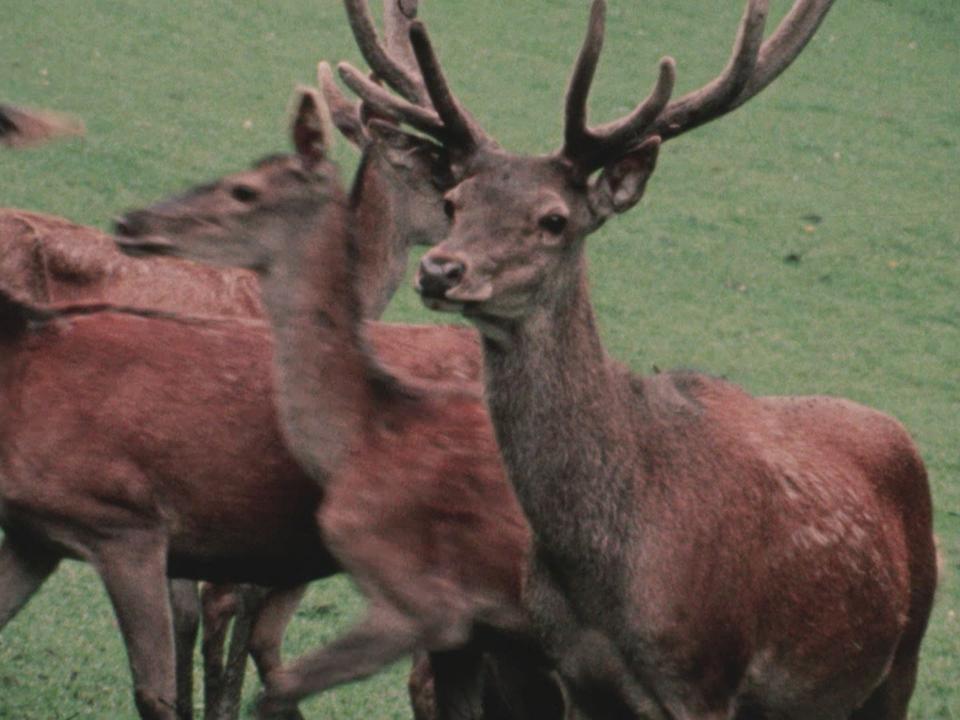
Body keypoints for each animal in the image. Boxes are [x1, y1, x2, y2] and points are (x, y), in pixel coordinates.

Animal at [340, 0, 936, 716]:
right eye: (454, 202)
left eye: (554, 219)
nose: (439, 270)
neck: (604, 577)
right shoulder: (573, 672)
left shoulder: (704, 676)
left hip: (903, 655)